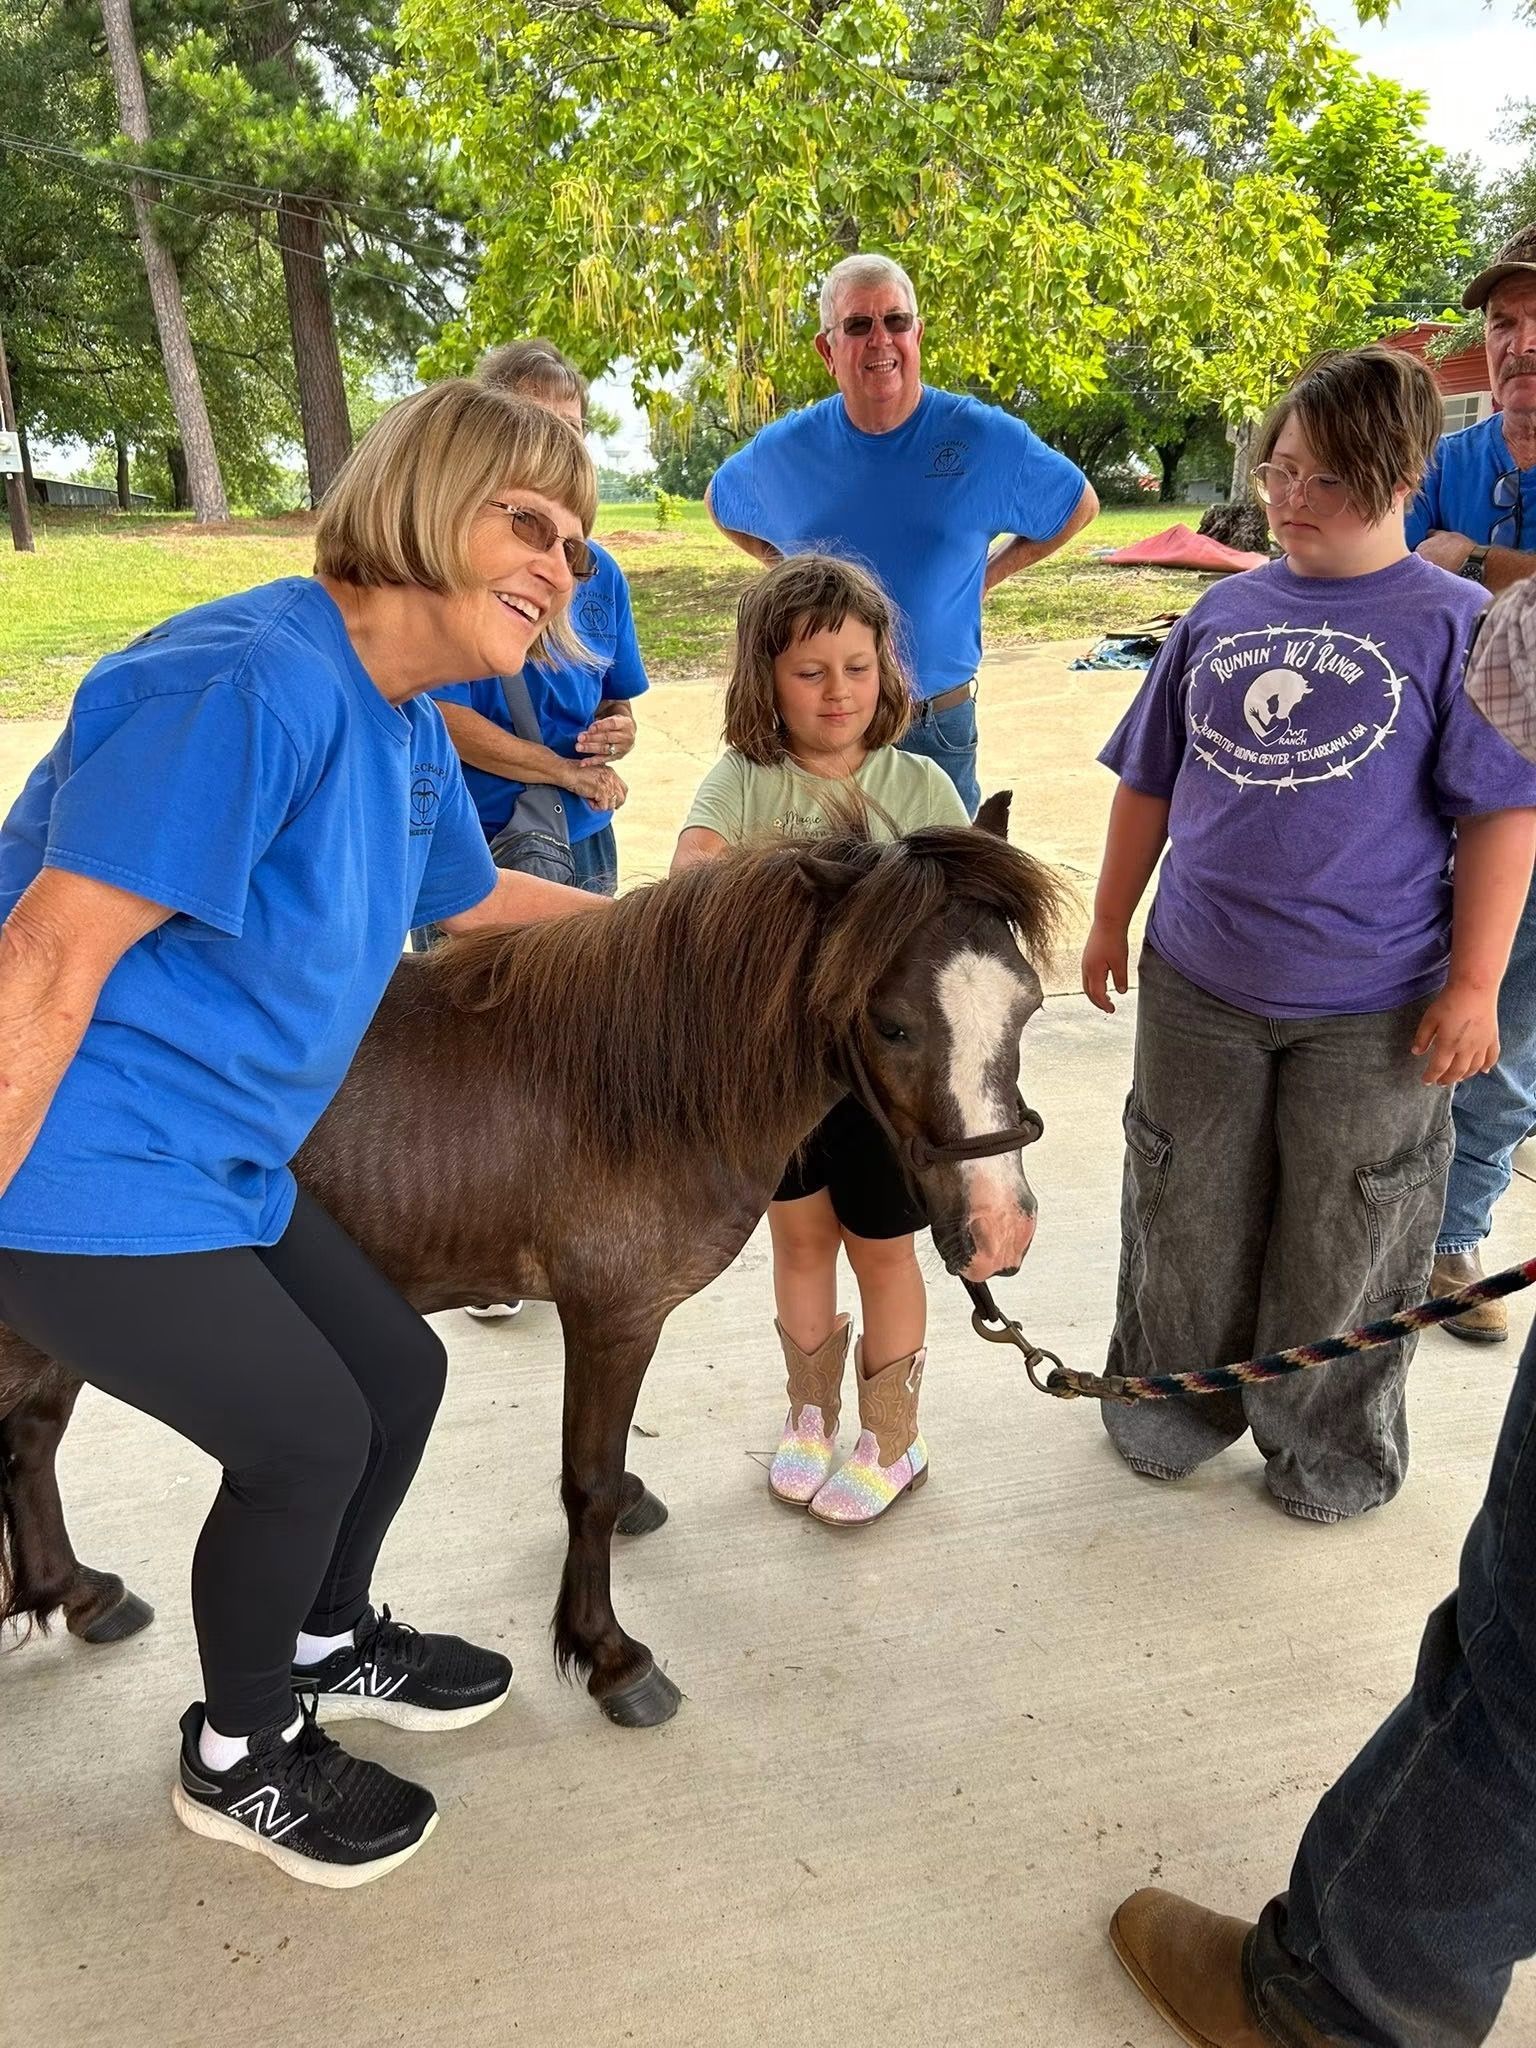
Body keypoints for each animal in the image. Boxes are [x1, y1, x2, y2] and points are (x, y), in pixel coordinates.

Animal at [0, 797, 1065, 1730]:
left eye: (1026, 1004)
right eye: (892, 1024)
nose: (1000, 1231)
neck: (639, 1084)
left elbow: (604, 1464)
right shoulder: (612, 1318)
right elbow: (583, 1482)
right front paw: (609, 1655)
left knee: (32, 1438)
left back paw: (76, 1593)